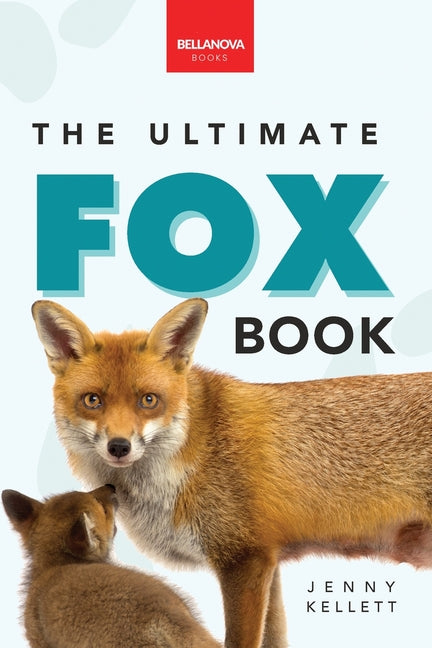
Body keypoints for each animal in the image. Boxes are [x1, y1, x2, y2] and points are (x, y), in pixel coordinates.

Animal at [31, 297, 432, 648]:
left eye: (148, 400)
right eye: (92, 400)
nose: (119, 447)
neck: (192, 454)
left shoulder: (244, 560)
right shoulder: (268, 561)